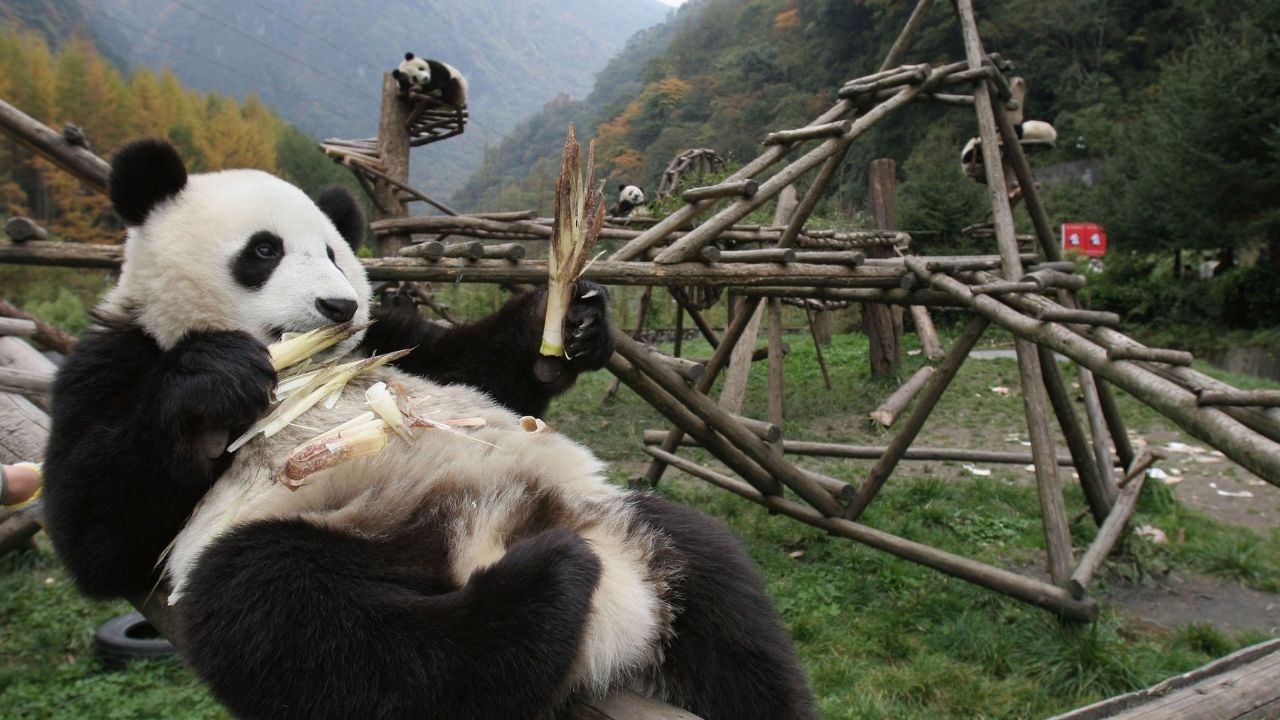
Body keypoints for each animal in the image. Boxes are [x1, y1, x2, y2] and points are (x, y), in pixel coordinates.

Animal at [41, 138, 817, 720]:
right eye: (263, 251)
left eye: (334, 252)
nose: (338, 306)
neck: (307, 368)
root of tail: (485, 535)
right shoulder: (115, 359)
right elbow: (97, 532)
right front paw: (215, 379)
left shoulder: (387, 338)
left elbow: (474, 367)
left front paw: (569, 324)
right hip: (338, 541)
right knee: (316, 628)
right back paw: (542, 589)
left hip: (623, 523)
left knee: (722, 602)